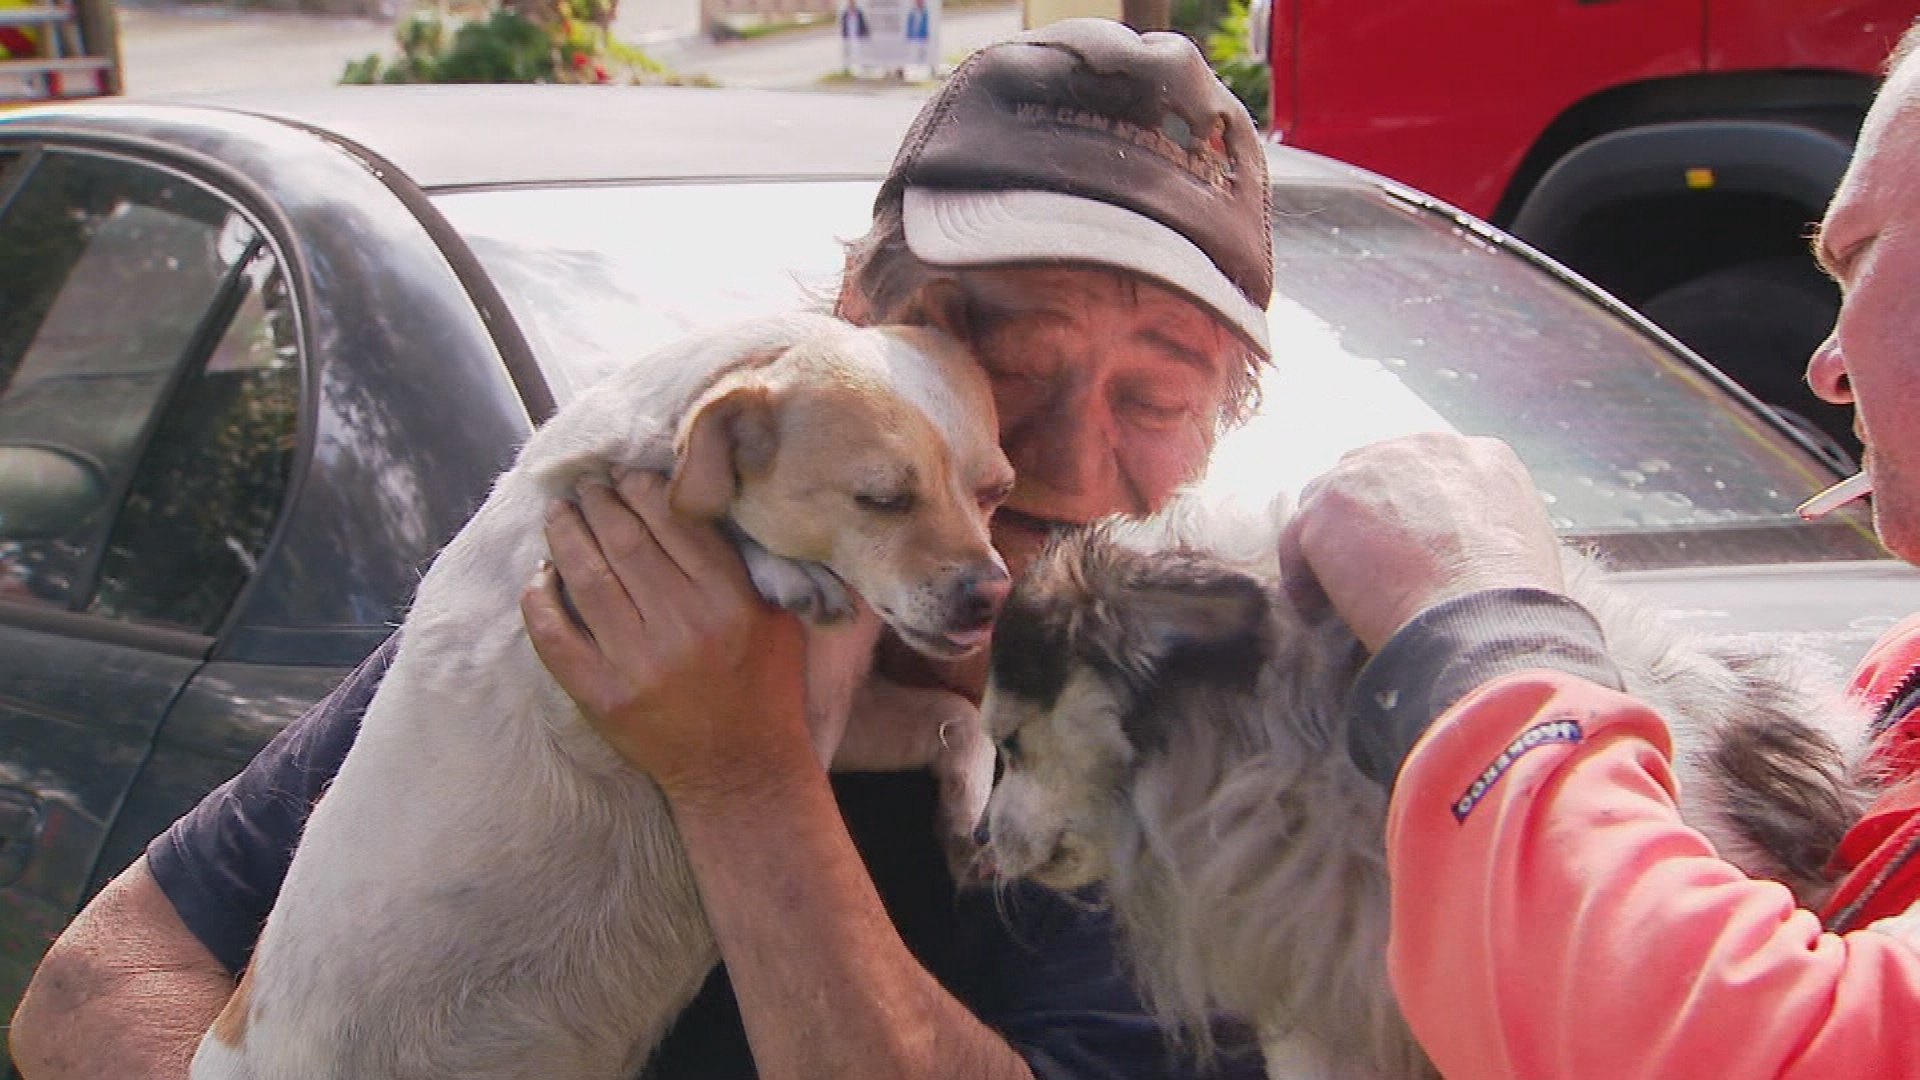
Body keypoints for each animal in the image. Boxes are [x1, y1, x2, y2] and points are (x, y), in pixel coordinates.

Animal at [187, 309, 1013, 1076]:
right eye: (881, 499)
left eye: (994, 493)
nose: (991, 596)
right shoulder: (559, 593)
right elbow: (689, 511)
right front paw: (779, 565)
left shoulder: (829, 732)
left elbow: (958, 717)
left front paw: (971, 817)